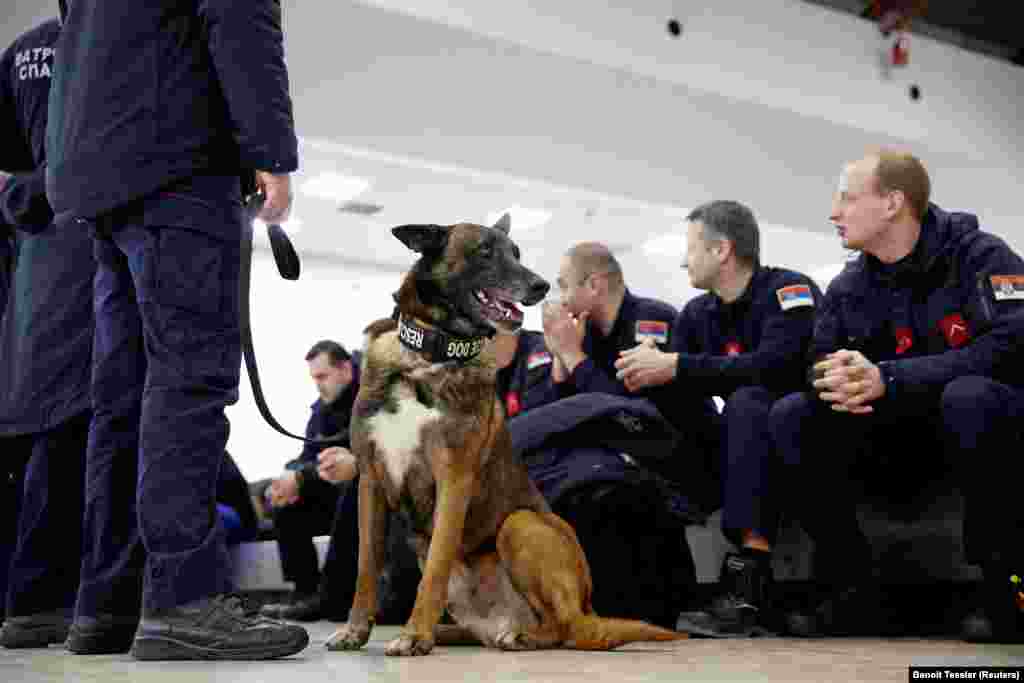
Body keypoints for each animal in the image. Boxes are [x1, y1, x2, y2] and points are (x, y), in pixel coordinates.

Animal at [323, 216, 684, 655]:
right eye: (484, 251)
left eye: (516, 253)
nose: (541, 286)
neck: (430, 356)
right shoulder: (372, 481)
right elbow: (365, 567)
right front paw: (356, 630)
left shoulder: (454, 480)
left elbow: (436, 568)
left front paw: (414, 636)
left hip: (521, 525)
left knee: (569, 629)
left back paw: (518, 635)